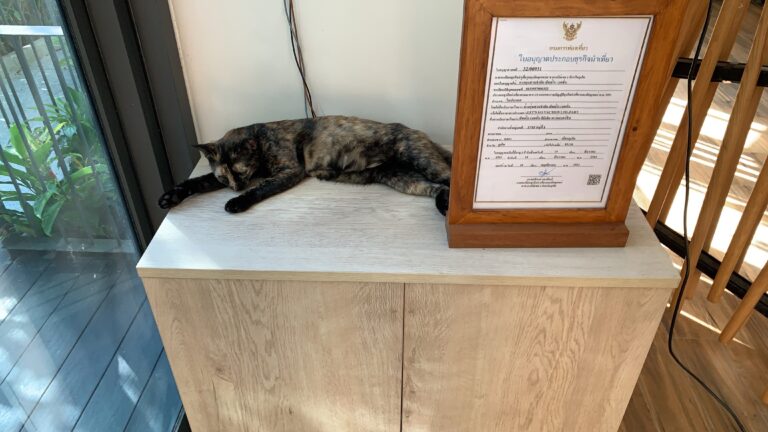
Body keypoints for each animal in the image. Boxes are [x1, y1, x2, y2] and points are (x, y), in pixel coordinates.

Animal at [158, 116, 452, 214]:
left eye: (240, 172)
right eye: (223, 178)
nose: (234, 188)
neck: (260, 138)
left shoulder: (289, 171)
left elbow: (260, 188)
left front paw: (237, 202)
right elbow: (196, 181)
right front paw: (170, 197)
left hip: (419, 159)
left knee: (449, 179)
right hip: (401, 178)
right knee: (435, 189)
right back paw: (443, 206)